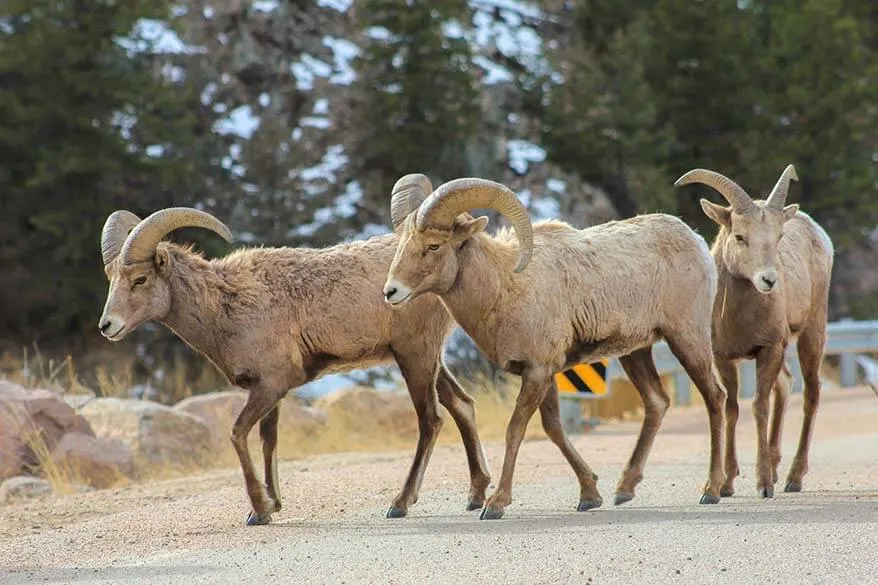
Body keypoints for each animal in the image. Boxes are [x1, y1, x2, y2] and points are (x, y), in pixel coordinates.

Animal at [100, 198, 496, 528]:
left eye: (140, 279)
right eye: (112, 280)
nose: (107, 326)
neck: (226, 306)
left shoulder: (270, 386)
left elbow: (238, 434)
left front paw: (259, 511)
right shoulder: (268, 392)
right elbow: (268, 440)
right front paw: (273, 503)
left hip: (415, 355)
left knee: (431, 419)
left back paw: (400, 503)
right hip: (428, 361)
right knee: (462, 405)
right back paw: (476, 496)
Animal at [384, 176, 728, 516]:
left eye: (433, 245)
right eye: (402, 245)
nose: (391, 292)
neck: (506, 287)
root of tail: (696, 241)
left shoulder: (537, 371)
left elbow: (515, 430)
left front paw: (496, 504)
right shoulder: (544, 374)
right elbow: (554, 430)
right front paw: (590, 495)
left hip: (687, 338)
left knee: (715, 396)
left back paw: (711, 490)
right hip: (635, 353)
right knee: (657, 403)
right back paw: (623, 490)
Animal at [676, 163, 836, 498]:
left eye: (778, 237)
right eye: (739, 236)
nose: (769, 280)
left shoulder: (768, 349)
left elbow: (759, 407)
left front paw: (763, 485)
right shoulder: (723, 358)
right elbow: (732, 409)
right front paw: (724, 485)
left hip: (812, 333)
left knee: (811, 393)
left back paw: (792, 478)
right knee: (786, 384)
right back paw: (776, 469)